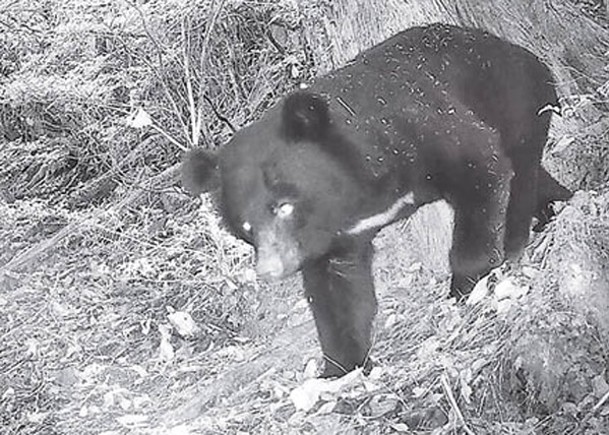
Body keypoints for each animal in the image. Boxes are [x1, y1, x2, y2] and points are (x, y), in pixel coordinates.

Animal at [180, 23, 568, 378]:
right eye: (245, 227)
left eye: (284, 205)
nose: (270, 269)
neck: (348, 197)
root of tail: (519, 51)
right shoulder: (331, 239)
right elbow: (336, 293)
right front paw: (339, 368)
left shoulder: (418, 128)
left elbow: (480, 165)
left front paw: (464, 287)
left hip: (517, 102)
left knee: (521, 172)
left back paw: (521, 237)